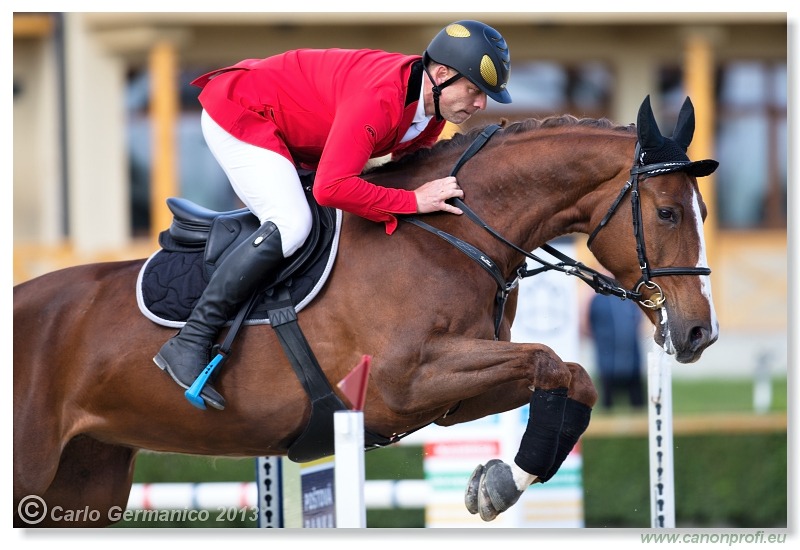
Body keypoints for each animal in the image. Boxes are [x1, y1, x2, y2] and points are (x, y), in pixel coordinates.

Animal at [12, 97, 720, 528]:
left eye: (703, 212)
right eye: (666, 213)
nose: (698, 333)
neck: (447, 231)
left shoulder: (447, 394)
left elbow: (568, 376)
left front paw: (497, 480)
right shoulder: (404, 381)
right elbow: (556, 362)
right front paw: (499, 485)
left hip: (87, 478)